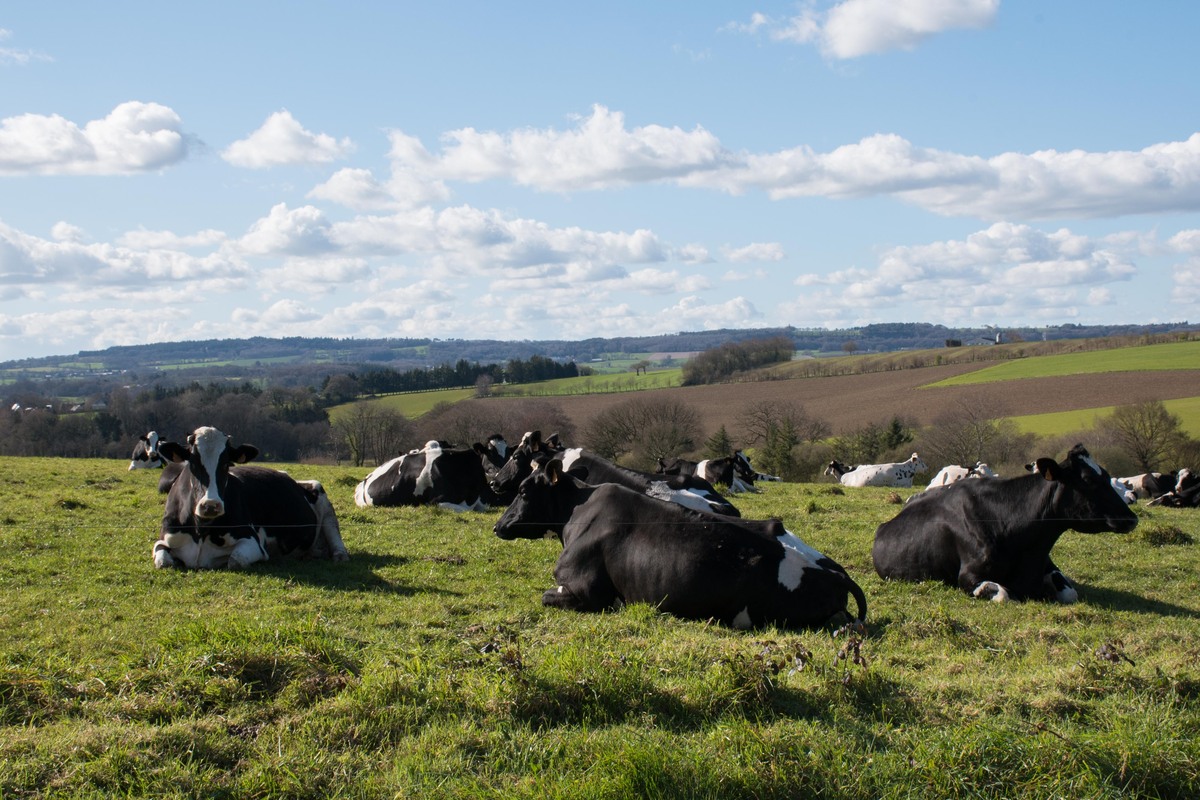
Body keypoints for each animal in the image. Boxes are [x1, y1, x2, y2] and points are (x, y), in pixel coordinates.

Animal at [151, 424, 348, 568]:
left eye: (226, 464)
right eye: (192, 463)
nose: (211, 505)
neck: (202, 529)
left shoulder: (253, 542)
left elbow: (235, 561)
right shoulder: (163, 538)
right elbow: (163, 561)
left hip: (322, 497)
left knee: (335, 538)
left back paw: (338, 555)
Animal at [492, 460, 868, 628]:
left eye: (524, 491)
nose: (498, 526)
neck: (577, 513)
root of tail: (838, 574)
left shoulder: (585, 591)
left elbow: (547, 596)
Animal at [873, 443, 1132, 599]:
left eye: (1107, 476)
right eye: (1088, 480)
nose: (1132, 518)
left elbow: (1070, 593)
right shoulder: (968, 576)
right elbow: (1004, 594)